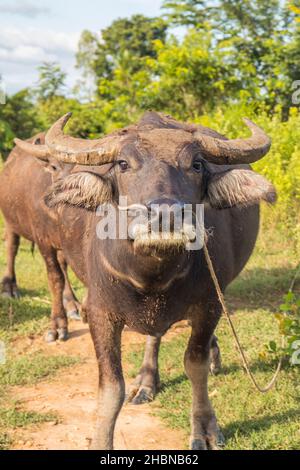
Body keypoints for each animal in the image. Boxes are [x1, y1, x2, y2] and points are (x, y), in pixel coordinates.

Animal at [0, 134, 81, 340]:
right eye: (54, 166)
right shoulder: (43, 242)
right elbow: (55, 278)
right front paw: (58, 325)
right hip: (10, 221)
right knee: (11, 247)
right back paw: (9, 287)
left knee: (63, 264)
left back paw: (71, 302)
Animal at [15, 112, 276, 450]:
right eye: (123, 164)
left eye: (197, 164)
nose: (165, 214)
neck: (152, 275)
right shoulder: (99, 312)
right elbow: (112, 386)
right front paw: (102, 439)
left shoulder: (208, 307)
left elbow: (195, 365)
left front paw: (205, 427)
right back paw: (145, 380)